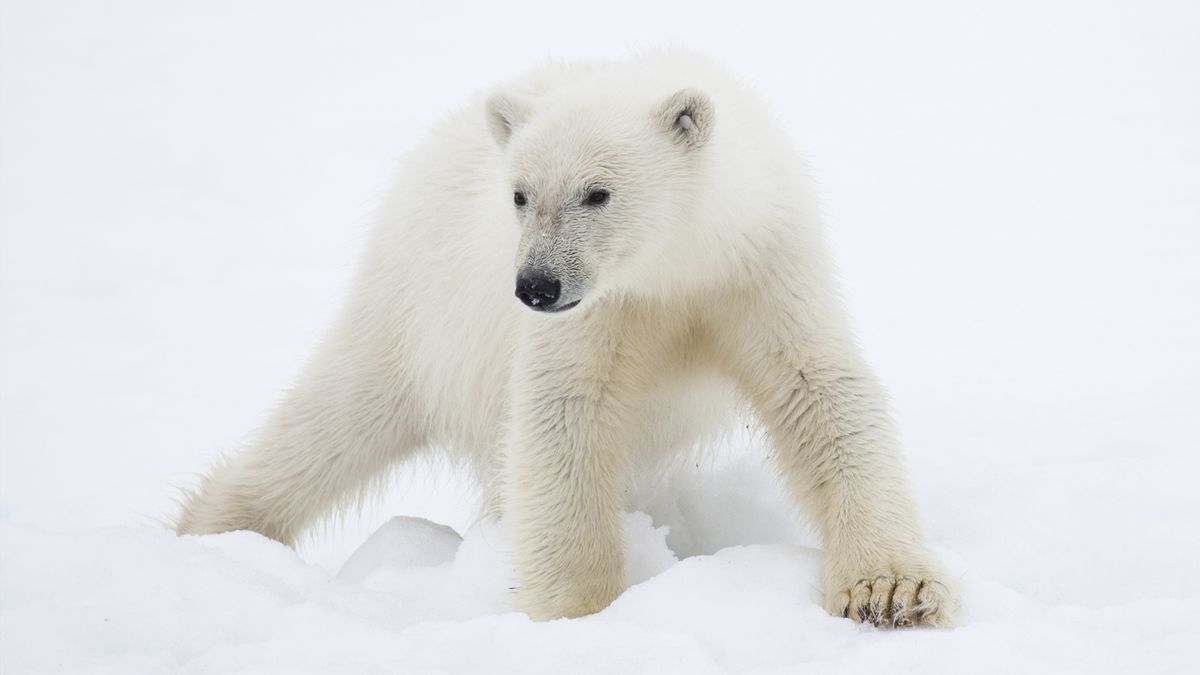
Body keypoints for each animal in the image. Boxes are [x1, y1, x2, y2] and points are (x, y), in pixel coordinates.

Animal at [175, 51, 955, 624]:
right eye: (520, 194)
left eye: (597, 192)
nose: (535, 286)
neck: (673, 266)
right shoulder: (596, 314)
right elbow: (565, 418)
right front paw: (581, 612)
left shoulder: (759, 268)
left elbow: (820, 392)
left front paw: (892, 593)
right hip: (413, 311)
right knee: (328, 426)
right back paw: (211, 535)